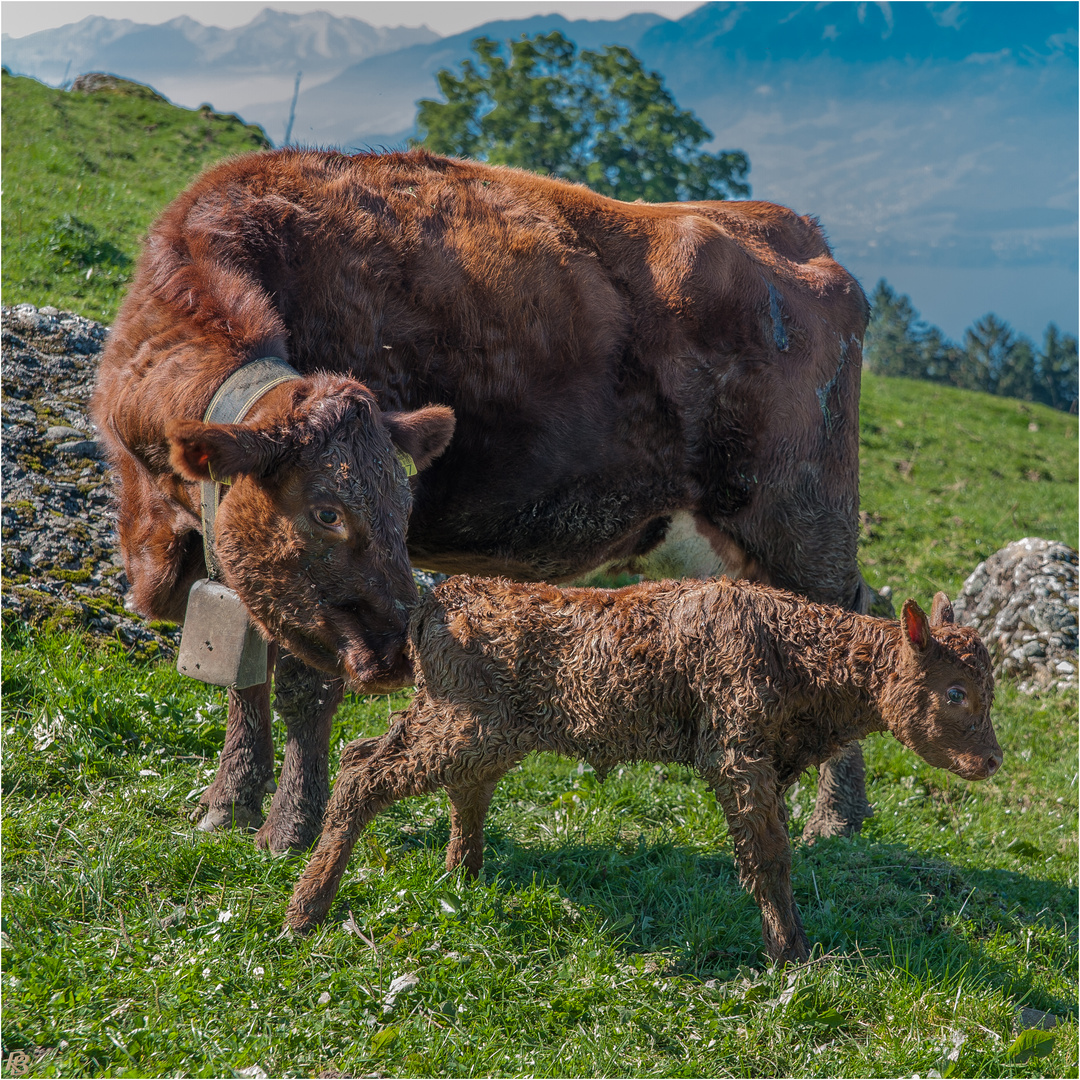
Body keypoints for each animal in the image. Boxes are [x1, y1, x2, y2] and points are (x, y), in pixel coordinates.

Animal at [90, 147, 868, 851]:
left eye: (403, 509)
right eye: (327, 511)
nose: (397, 654)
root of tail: (792, 227)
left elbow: (304, 692)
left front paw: (290, 829)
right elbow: (245, 685)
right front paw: (227, 805)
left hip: (800, 521)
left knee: (852, 624)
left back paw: (837, 820)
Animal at [285, 574, 993, 963]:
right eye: (956, 692)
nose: (992, 760)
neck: (796, 650)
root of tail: (443, 596)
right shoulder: (737, 754)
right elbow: (769, 857)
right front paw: (793, 954)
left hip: (477, 728)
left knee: (445, 782)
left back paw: (462, 878)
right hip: (463, 725)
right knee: (363, 771)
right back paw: (306, 910)